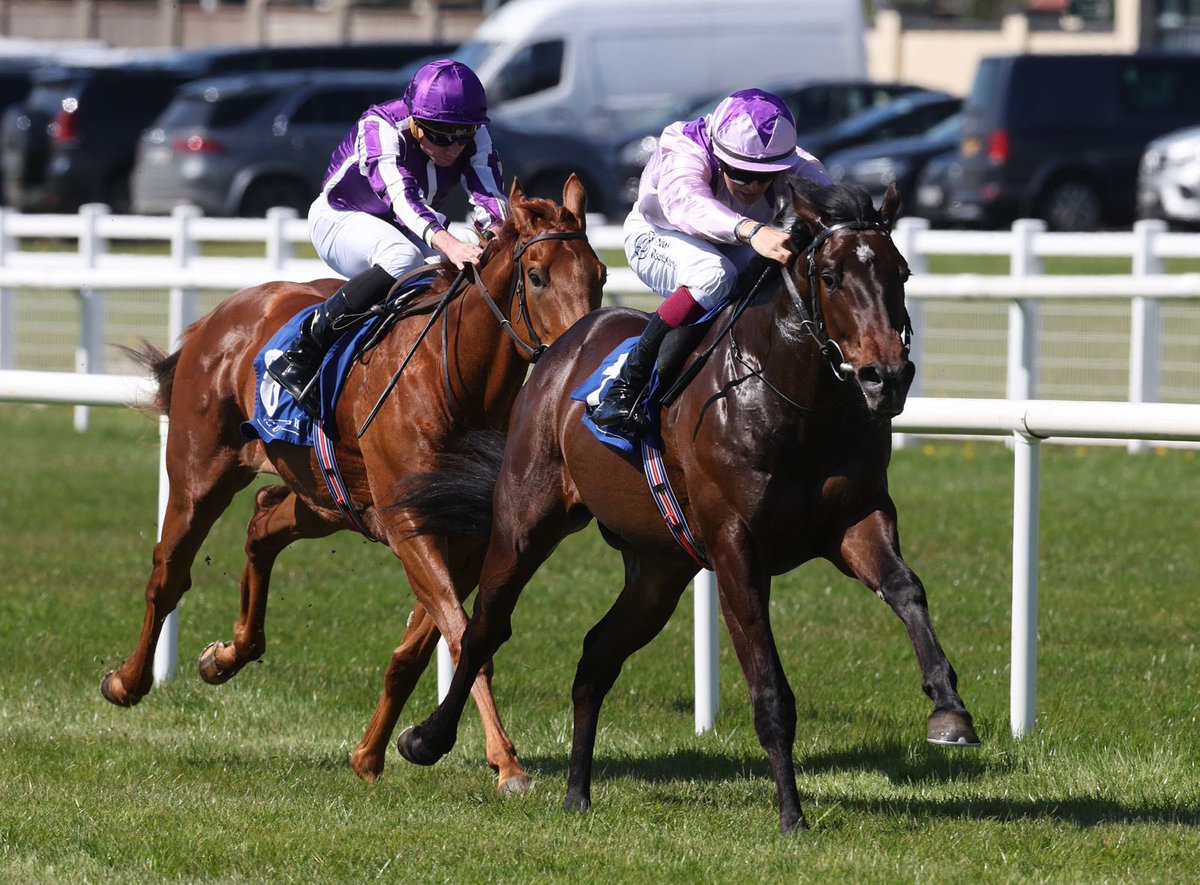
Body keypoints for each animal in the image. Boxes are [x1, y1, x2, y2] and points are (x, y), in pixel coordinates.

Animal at [98, 173, 604, 791]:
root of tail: (220, 316)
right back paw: (127, 682)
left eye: (600, 275)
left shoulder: (465, 538)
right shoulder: (410, 526)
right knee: (169, 573)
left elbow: (429, 645)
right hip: (201, 475)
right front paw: (504, 761)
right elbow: (464, 637)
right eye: (536, 276)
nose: (581, 355)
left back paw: (227, 655)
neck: (453, 381)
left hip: (325, 497)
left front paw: (377, 753)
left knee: (264, 521)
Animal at [391, 177, 974, 825]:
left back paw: (577, 792)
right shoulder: (736, 547)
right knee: (484, 629)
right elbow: (769, 687)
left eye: (900, 272)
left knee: (596, 655)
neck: (795, 401)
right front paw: (791, 816)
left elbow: (906, 588)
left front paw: (949, 710)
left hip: (659, 568)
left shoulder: (856, 518)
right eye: (830, 276)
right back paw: (429, 741)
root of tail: (562, 347)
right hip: (525, 521)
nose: (886, 377)